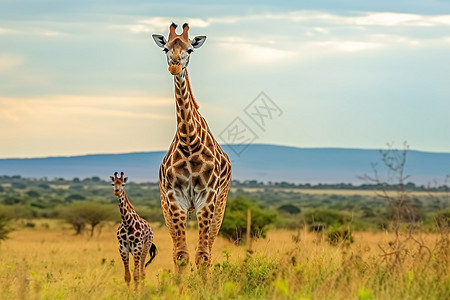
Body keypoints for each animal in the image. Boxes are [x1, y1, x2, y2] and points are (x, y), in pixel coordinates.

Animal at [153, 24, 234, 270]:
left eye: (190, 49)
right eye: (166, 48)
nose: (175, 65)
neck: (189, 141)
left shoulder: (207, 198)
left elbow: (203, 256)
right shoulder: (174, 198)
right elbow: (181, 255)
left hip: (221, 204)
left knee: (209, 248)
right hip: (165, 206)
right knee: (175, 250)